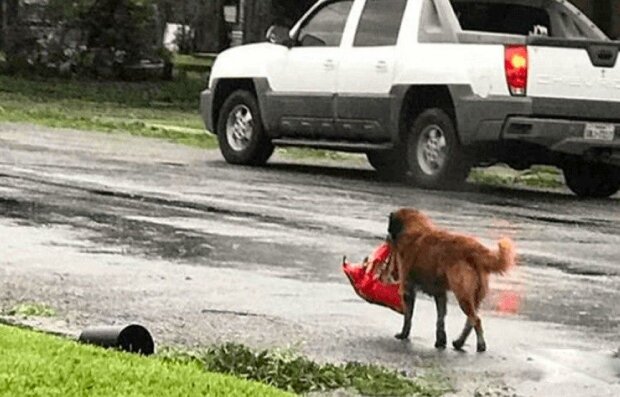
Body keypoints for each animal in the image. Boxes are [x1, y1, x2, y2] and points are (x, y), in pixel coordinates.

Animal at [388, 207, 512, 350]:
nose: (387, 238)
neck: (415, 229)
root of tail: (474, 248)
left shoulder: (408, 289)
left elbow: (408, 317)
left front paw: (404, 334)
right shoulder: (440, 294)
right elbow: (440, 319)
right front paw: (440, 341)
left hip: (463, 295)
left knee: (476, 320)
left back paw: (480, 345)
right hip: (474, 297)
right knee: (471, 321)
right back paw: (459, 342)